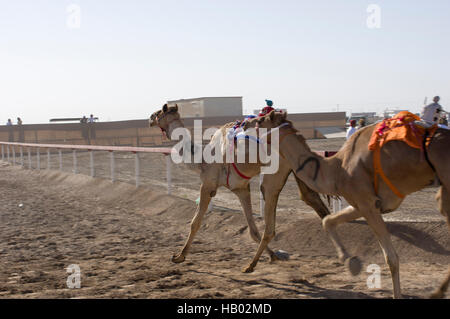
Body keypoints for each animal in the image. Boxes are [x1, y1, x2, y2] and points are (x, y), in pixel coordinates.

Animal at [149, 104, 328, 264]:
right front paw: (273, 255)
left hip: (276, 171)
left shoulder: (207, 185)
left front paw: (179, 256)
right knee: (311, 198)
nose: (150, 118)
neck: (202, 159)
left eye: (159, 112)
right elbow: (252, 230)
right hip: (296, 167)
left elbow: (195, 222)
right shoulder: (241, 188)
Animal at [246, 110, 450, 300]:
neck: (336, 169)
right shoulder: (364, 203)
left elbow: (391, 258)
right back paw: (437, 292)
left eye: (260, 120)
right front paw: (351, 262)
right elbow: (328, 220)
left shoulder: (366, 203)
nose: (245, 123)